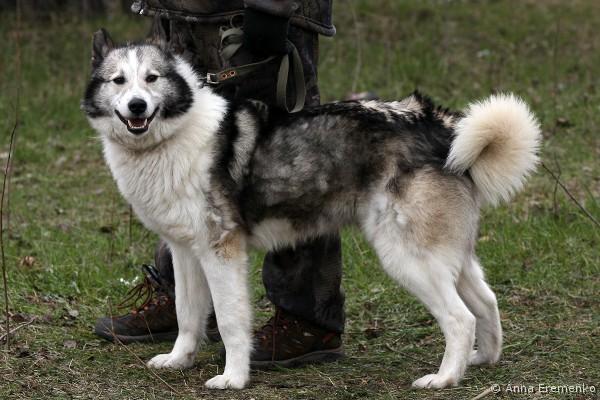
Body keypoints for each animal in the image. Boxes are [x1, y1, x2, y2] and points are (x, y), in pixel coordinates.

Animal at [82, 28, 541, 390]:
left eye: (152, 79)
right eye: (118, 81)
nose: (137, 106)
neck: (173, 136)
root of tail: (438, 127)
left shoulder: (222, 254)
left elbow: (229, 322)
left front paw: (233, 378)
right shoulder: (186, 254)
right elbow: (187, 315)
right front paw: (179, 360)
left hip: (409, 258)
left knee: (460, 319)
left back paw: (444, 378)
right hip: (446, 254)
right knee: (486, 300)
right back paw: (482, 359)